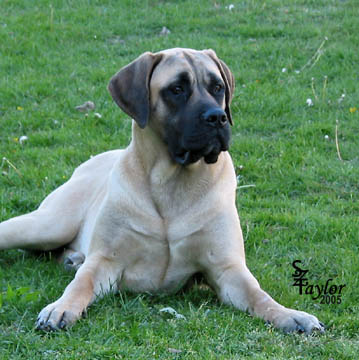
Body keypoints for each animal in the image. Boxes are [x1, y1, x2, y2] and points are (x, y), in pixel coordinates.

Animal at [0, 48, 326, 334]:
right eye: (177, 89)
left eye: (218, 87)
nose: (217, 117)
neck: (172, 182)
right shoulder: (105, 261)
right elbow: (82, 283)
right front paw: (60, 308)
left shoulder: (227, 268)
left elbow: (259, 294)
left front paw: (291, 315)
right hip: (47, 224)